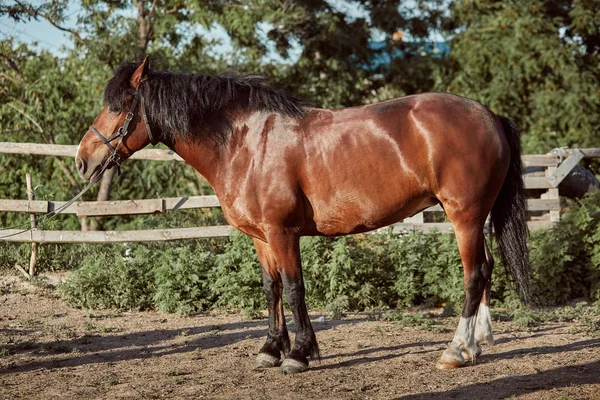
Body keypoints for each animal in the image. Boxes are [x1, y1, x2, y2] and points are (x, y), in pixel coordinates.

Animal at [76, 57, 528, 374]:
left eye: (118, 107)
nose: (83, 160)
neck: (245, 144)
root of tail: (489, 116)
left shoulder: (283, 233)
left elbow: (294, 290)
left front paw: (299, 353)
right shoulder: (260, 237)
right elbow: (270, 288)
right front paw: (270, 349)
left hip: (464, 215)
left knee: (473, 275)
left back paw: (456, 350)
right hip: (476, 218)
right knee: (487, 268)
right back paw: (478, 342)